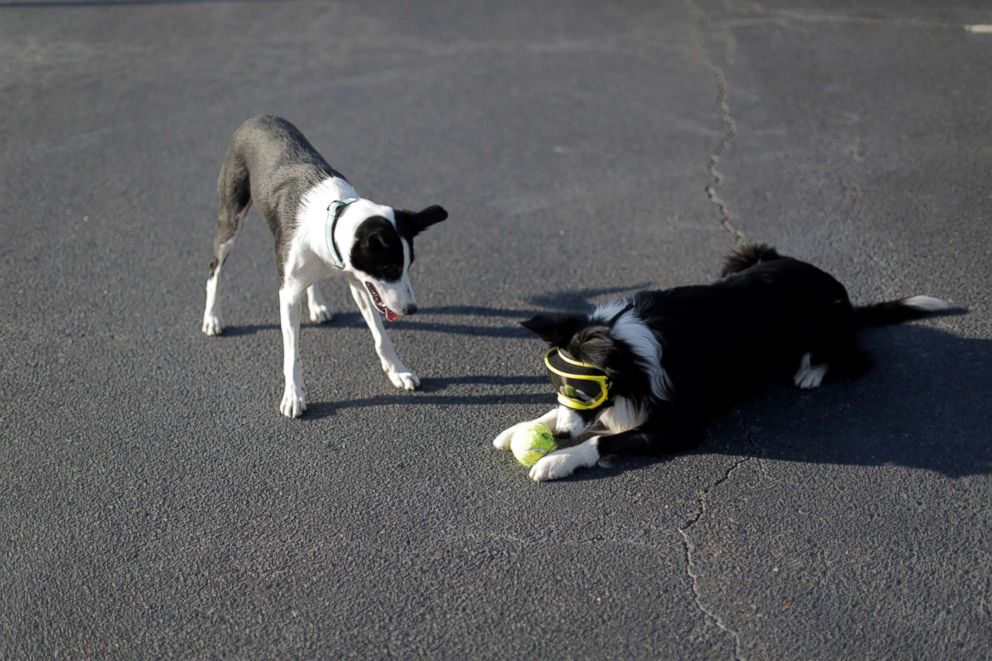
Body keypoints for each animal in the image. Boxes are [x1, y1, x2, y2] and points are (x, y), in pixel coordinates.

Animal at [202, 116, 450, 418]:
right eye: (388, 268)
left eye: (408, 267)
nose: (411, 310)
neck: (332, 218)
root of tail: (258, 117)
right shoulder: (287, 295)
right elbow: (292, 354)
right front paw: (293, 396)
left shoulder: (359, 284)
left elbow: (381, 336)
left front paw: (398, 372)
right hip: (231, 217)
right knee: (215, 268)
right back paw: (212, 318)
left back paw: (317, 305)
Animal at [494, 245, 952, 482]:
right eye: (559, 386)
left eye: (586, 390)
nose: (560, 437)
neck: (628, 347)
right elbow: (561, 416)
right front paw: (522, 429)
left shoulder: (682, 426)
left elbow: (603, 440)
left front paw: (557, 460)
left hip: (822, 322)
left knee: (851, 357)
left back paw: (810, 370)